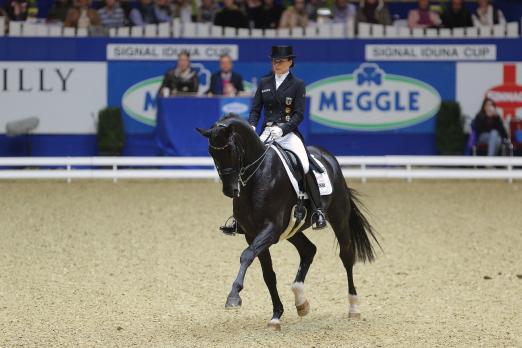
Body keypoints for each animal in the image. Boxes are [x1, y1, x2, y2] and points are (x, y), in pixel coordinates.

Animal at [195, 115, 378, 332]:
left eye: (231, 149)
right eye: (211, 151)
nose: (230, 190)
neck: (258, 176)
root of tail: (328, 157)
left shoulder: (270, 229)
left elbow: (246, 256)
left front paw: (233, 297)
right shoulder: (253, 233)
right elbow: (268, 275)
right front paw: (276, 315)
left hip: (338, 219)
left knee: (346, 256)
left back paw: (354, 308)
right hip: (292, 230)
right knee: (309, 250)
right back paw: (301, 302)